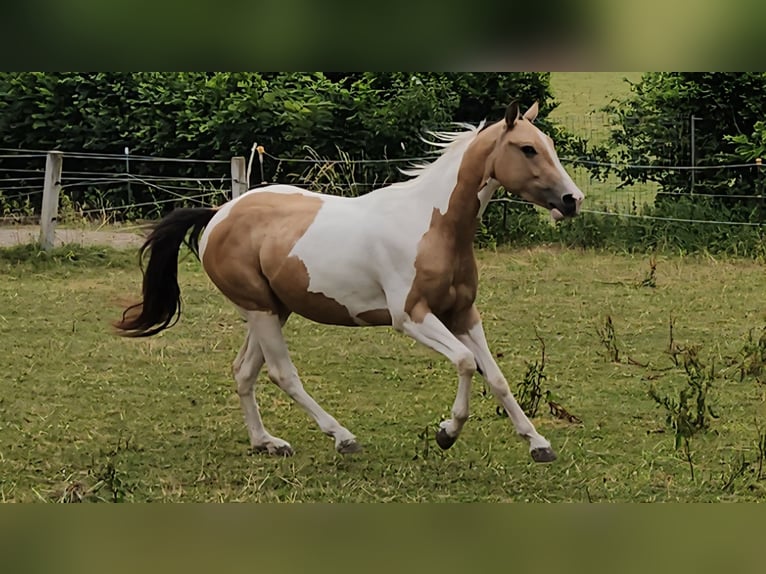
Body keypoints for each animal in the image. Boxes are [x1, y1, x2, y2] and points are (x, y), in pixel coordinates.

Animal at [115, 101, 584, 463]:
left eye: (548, 147)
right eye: (527, 149)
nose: (572, 200)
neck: (435, 225)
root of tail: (217, 215)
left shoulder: (463, 314)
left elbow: (497, 376)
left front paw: (538, 444)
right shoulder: (411, 317)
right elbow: (467, 363)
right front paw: (446, 432)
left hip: (273, 309)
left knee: (244, 371)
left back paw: (267, 442)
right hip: (260, 309)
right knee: (282, 374)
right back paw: (343, 437)